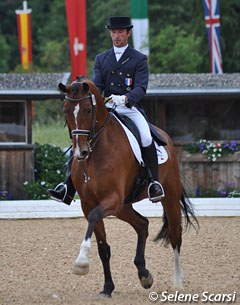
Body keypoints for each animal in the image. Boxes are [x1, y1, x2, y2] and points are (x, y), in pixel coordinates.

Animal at [58, 76, 199, 296]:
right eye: (66, 110)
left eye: (88, 110)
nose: (80, 152)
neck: (96, 151)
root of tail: (165, 137)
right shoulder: (89, 203)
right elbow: (103, 247)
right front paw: (107, 288)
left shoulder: (111, 199)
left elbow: (95, 218)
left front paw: (81, 263)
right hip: (123, 207)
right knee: (142, 225)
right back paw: (144, 274)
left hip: (168, 198)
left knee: (175, 236)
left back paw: (177, 282)